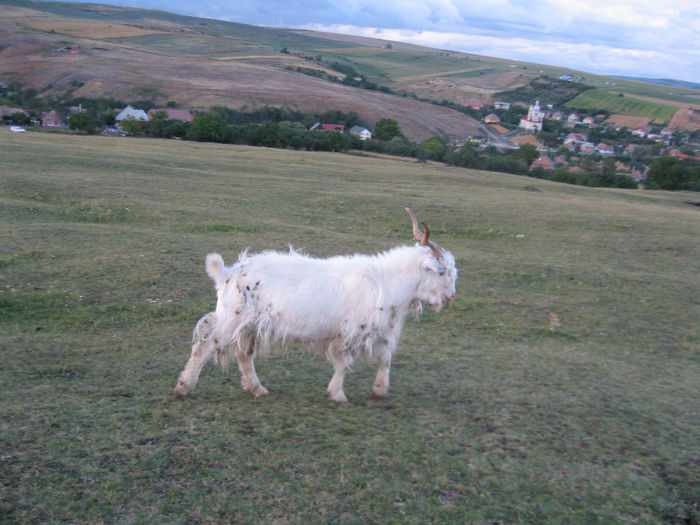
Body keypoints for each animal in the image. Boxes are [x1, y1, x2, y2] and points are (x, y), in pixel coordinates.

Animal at [174, 207, 456, 400]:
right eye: (441, 271)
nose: (451, 296)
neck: (386, 280)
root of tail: (228, 273)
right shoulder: (349, 332)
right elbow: (344, 364)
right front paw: (338, 394)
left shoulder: (381, 332)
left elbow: (385, 360)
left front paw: (379, 390)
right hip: (232, 319)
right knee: (204, 345)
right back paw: (184, 386)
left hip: (249, 325)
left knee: (244, 354)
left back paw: (258, 388)